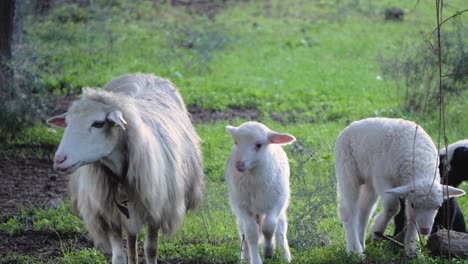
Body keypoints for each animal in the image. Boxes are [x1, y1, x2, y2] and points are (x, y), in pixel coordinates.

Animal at [46, 73, 205, 264]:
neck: (119, 172)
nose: (59, 159)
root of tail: (146, 75)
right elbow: (119, 256)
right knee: (131, 237)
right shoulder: (108, 214)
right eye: (67, 122)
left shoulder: (156, 210)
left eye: (98, 123)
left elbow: (151, 250)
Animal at [225, 121, 294, 264]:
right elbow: (251, 232)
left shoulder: (278, 200)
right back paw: (245, 257)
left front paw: (268, 250)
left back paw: (285, 256)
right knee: (243, 231)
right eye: (236, 142)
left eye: (259, 145)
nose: (239, 164)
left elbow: (269, 227)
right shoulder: (241, 205)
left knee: (280, 228)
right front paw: (256, 259)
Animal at [334, 117, 466, 256]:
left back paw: (361, 242)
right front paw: (377, 231)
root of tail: (351, 126)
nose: (425, 230)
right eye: (414, 205)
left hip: (368, 181)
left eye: (438, 206)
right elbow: (392, 205)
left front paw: (412, 247)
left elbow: (410, 216)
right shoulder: (381, 177)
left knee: (364, 210)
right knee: (348, 210)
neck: (420, 161)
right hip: (347, 168)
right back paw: (355, 250)